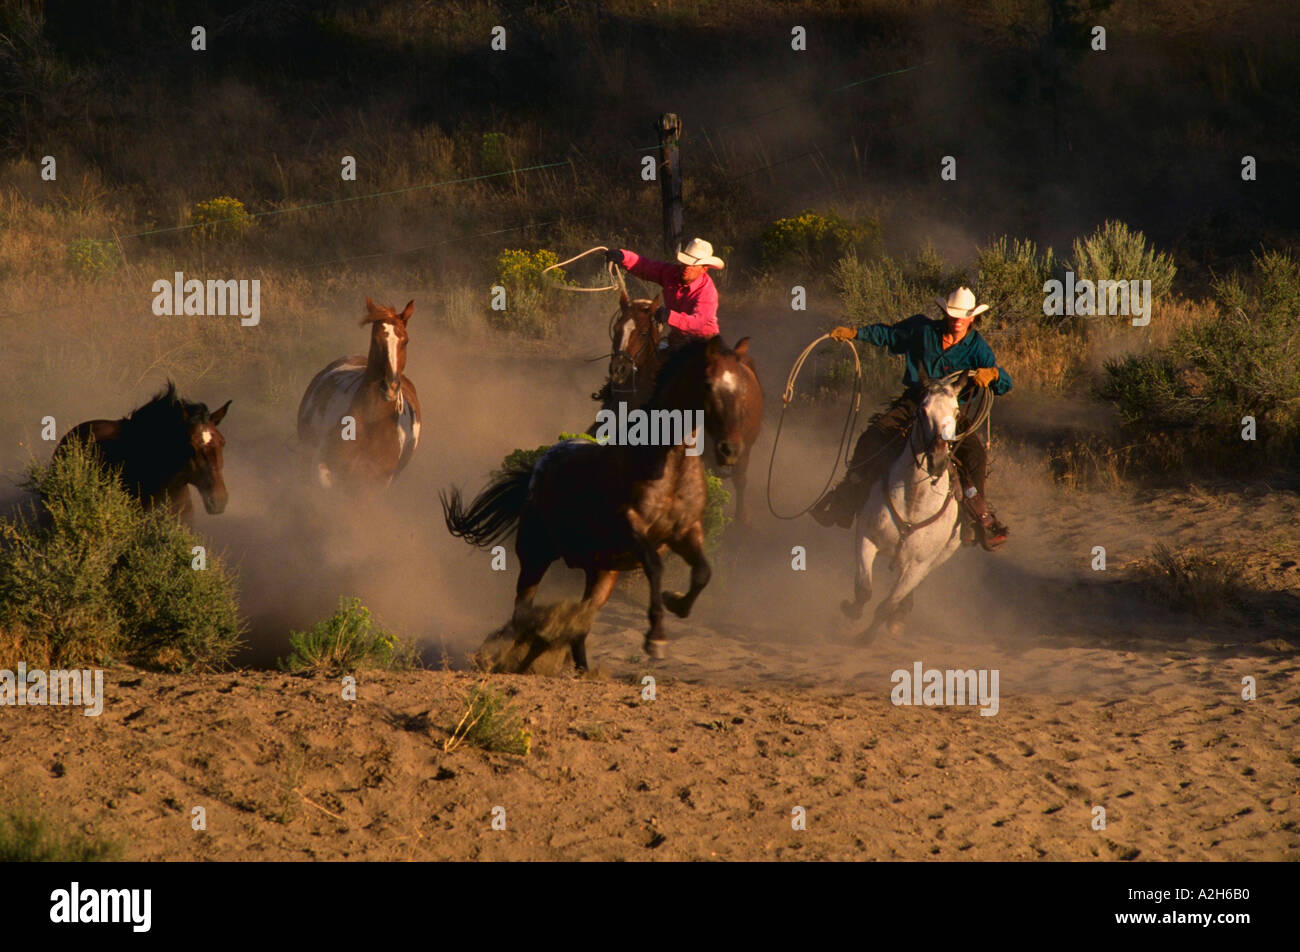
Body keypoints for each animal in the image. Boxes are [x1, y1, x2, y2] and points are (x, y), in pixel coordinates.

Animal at [296, 297, 418, 491]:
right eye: (376, 340)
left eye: (405, 341)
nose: (390, 387)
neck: (371, 422)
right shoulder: (324, 466)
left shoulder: (374, 483)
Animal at [444, 335, 759, 671]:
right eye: (708, 384)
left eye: (743, 388)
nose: (730, 450)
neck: (668, 467)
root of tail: (538, 468)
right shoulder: (630, 527)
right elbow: (655, 566)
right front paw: (656, 638)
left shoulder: (686, 531)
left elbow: (702, 572)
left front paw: (676, 601)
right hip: (535, 554)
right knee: (523, 609)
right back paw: (507, 653)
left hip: (601, 573)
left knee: (582, 618)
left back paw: (578, 665)